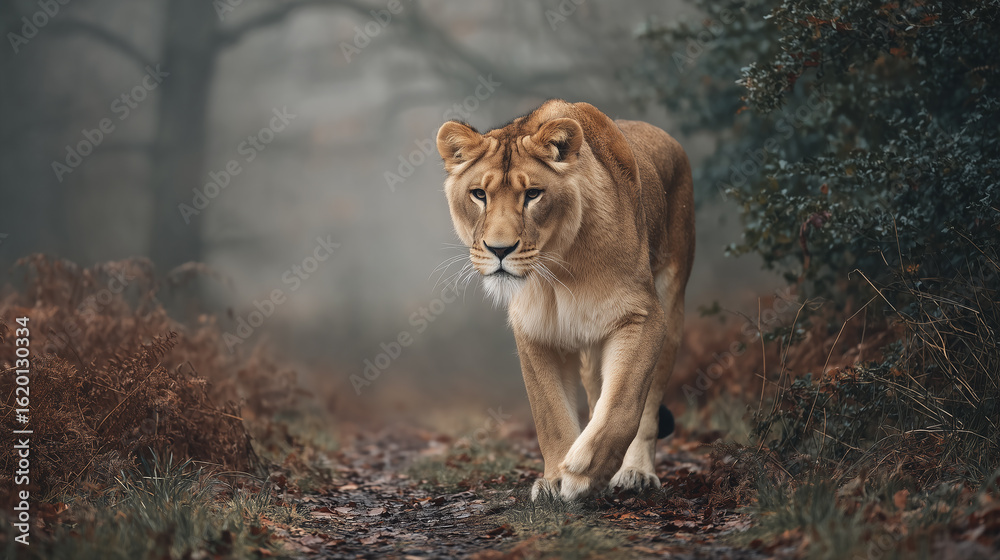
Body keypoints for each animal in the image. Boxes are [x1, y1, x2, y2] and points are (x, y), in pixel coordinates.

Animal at [435, 99, 694, 500]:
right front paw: (556, 479)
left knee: (647, 405)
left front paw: (583, 472)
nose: (499, 250)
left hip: (672, 303)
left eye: (533, 194)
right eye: (479, 194)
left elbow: (624, 404)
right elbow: (550, 414)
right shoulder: (535, 330)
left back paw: (635, 472)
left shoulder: (643, 314)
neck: (555, 271)